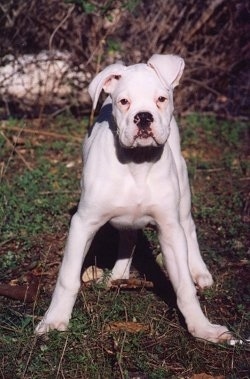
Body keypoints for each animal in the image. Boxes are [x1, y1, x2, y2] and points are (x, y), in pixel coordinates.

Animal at [35, 54, 230, 344]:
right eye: (124, 102)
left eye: (161, 99)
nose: (144, 117)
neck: (138, 163)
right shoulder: (83, 224)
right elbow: (67, 278)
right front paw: (54, 320)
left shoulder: (169, 230)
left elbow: (184, 286)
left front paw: (202, 327)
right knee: (128, 237)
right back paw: (118, 275)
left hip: (182, 198)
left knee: (189, 228)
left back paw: (199, 271)